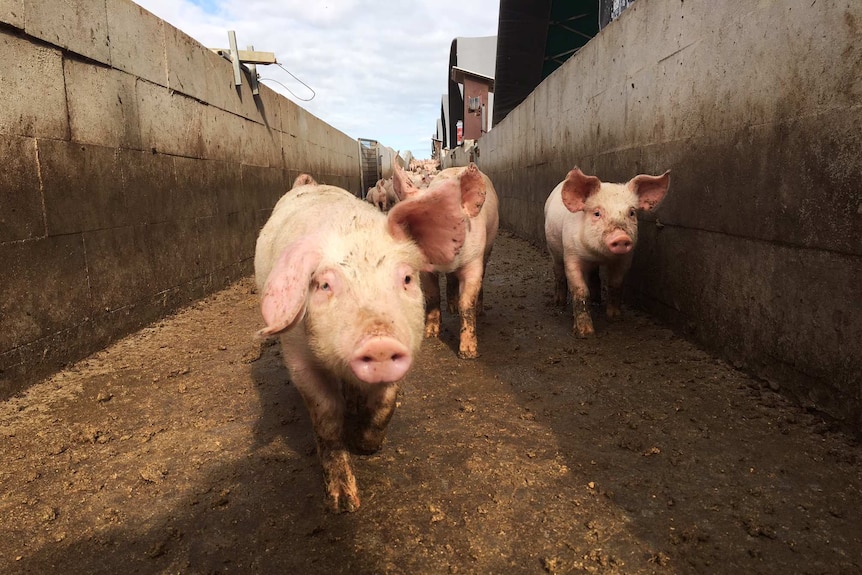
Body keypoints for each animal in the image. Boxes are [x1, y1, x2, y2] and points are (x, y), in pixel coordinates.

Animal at [256, 174, 472, 512]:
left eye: (407, 279)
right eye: (324, 285)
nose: (379, 343)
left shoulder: (407, 347)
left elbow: (386, 403)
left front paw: (366, 446)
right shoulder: (297, 357)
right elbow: (326, 416)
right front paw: (344, 504)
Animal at [392, 163, 500, 360]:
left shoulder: (473, 261)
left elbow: (467, 303)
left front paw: (468, 353)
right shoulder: (426, 271)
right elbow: (432, 295)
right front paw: (430, 333)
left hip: (488, 248)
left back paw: (478, 311)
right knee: (450, 280)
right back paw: (452, 308)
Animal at [544, 166, 672, 338]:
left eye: (632, 213)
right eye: (597, 213)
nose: (621, 237)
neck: (600, 256)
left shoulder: (625, 259)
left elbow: (615, 284)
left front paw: (615, 317)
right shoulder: (571, 255)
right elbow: (580, 290)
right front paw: (585, 333)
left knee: (594, 276)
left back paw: (597, 300)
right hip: (553, 249)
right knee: (558, 273)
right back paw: (559, 303)